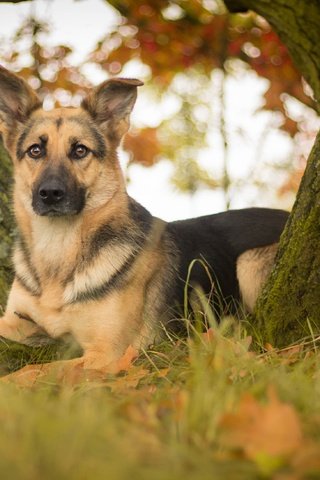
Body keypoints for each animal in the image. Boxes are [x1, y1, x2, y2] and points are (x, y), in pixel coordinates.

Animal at [0, 66, 290, 376]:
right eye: (35, 150)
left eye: (80, 150)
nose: (51, 194)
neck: (58, 252)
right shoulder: (14, 322)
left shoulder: (106, 354)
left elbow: (36, 371)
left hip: (248, 264)